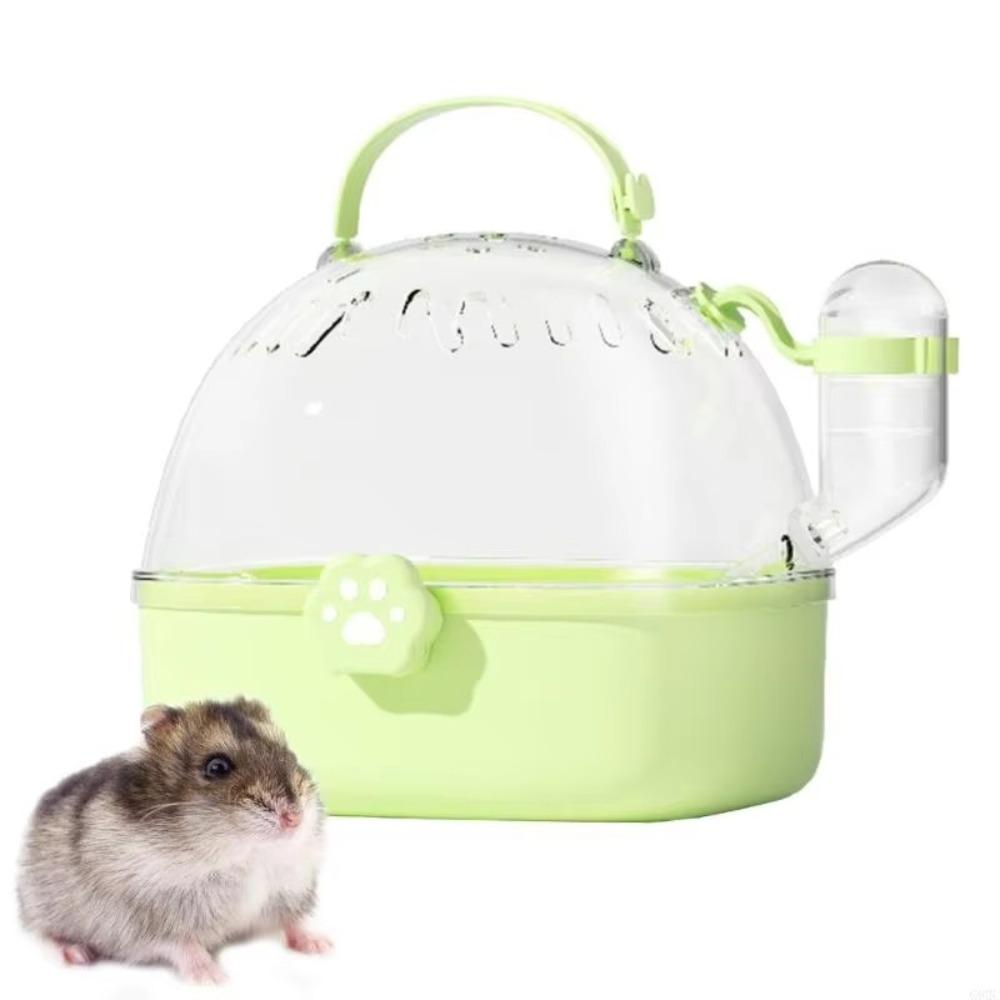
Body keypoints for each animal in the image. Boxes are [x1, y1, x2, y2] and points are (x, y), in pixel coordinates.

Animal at [17, 697, 330, 984]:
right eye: (217, 767)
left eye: (289, 753)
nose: (294, 818)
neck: (245, 856)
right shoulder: (147, 917)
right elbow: (181, 944)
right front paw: (213, 977)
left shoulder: (288, 888)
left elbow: (294, 919)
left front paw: (322, 946)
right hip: (40, 903)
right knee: (43, 933)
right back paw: (76, 954)